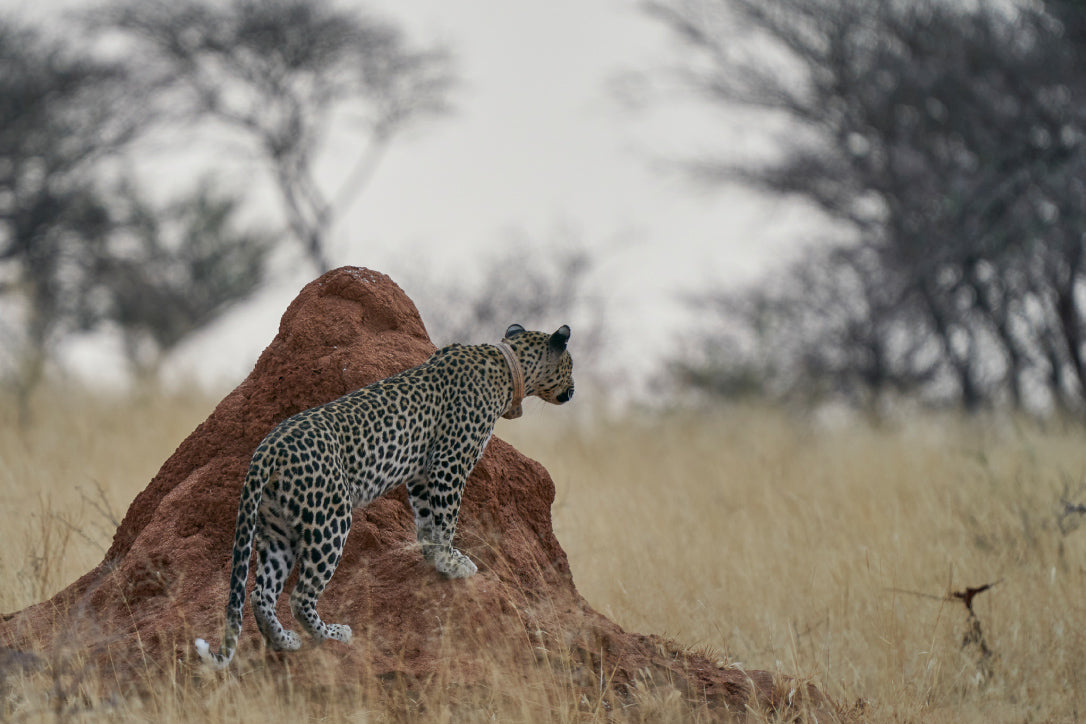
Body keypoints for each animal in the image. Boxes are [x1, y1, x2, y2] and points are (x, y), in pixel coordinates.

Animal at [193, 323, 577, 668]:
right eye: (571, 366)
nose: (574, 390)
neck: (509, 366)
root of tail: (265, 450)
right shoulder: (448, 463)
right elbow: (447, 520)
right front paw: (452, 562)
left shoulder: (422, 474)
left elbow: (427, 520)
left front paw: (434, 557)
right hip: (329, 520)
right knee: (300, 595)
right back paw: (332, 635)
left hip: (277, 530)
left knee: (261, 593)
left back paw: (284, 642)